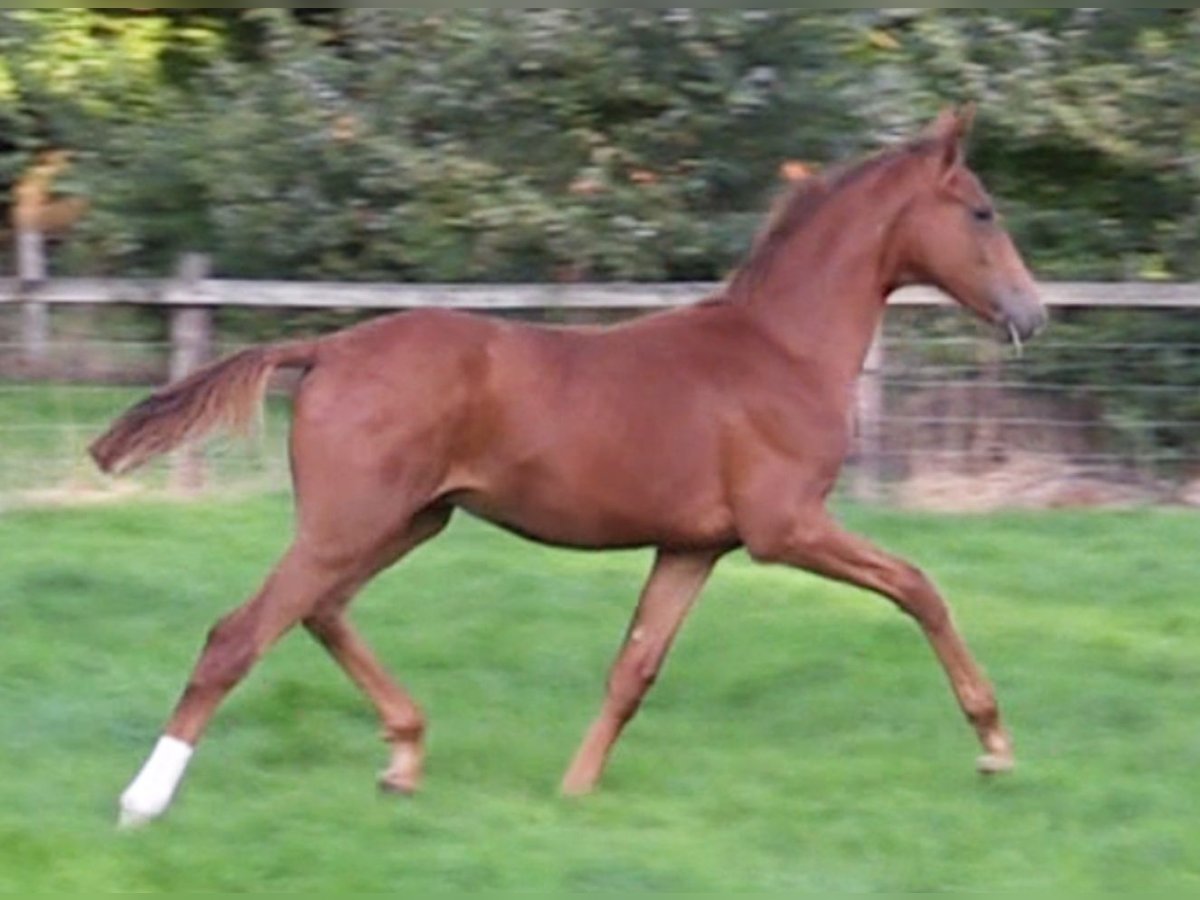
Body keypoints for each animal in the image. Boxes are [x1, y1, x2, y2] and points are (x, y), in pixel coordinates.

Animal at [93, 109, 1046, 830]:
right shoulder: (787, 529)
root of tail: (324, 348)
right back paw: (144, 799)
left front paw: (574, 790)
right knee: (239, 634)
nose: (1032, 315)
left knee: (320, 612)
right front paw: (995, 746)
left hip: (407, 520)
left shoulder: (693, 547)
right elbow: (921, 587)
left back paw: (405, 754)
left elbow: (634, 670)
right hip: (352, 523)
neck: (780, 350)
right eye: (983, 212)